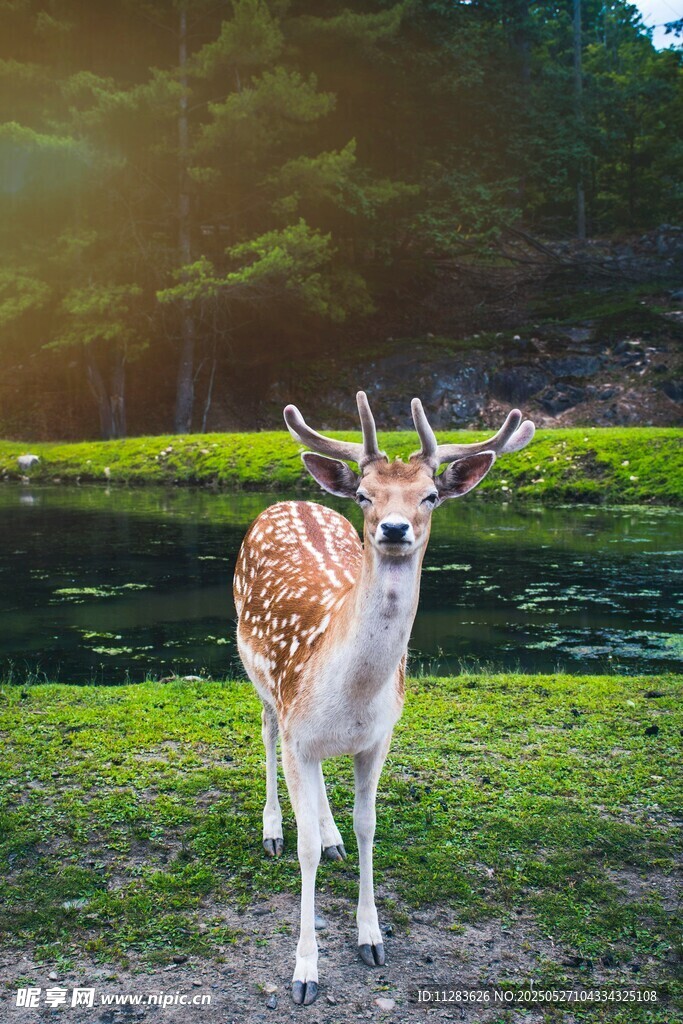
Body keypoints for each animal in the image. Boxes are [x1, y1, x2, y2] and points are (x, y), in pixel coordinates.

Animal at [232, 392, 534, 1005]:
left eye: (430, 495)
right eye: (366, 495)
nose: (394, 529)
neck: (349, 694)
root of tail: (292, 498)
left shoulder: (378, 737)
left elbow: (368, 826)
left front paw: (371, 938)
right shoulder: (298, 729)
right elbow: (302, 847)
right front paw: (305, 971)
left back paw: (331, 838)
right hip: (263, 683)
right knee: (266, 734)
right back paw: (272, 829)